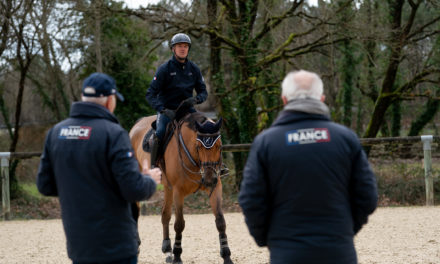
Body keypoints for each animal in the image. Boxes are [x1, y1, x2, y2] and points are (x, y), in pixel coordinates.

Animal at [129, 110, 234, 264]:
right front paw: (178, 256)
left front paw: (226, 256)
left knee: (165, 215)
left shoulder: (215, 187)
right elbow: (179, 224)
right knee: (136, 213)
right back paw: (137, 246)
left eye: (219, 146)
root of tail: (136, 125)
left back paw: (167, 251)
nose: (209, 179)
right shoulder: (178, 191)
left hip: (167, 187)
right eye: (198, 147)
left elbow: (220, 221)